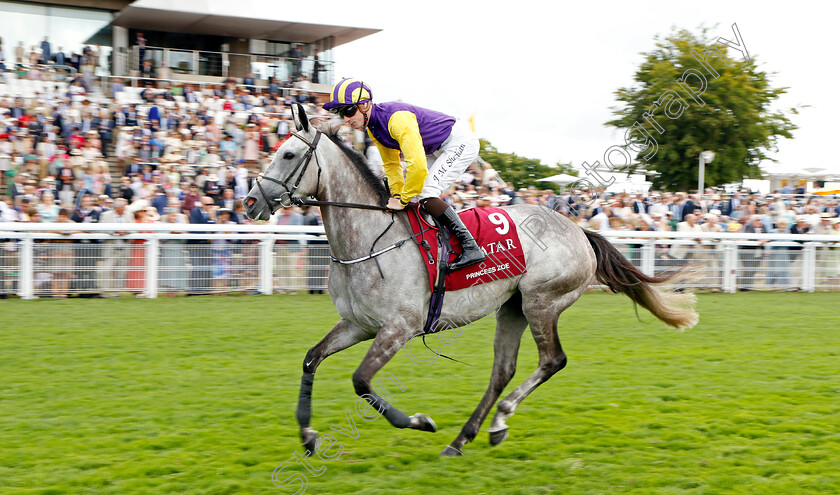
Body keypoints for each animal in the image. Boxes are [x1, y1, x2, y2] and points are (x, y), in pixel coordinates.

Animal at [243, 105, 696, 458]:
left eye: (288, 154)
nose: (249, 202)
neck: (370, 239)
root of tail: (579, 230)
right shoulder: (357, 324)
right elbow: (311, 359)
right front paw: (308, 436)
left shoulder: (398, 328)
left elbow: (361, 381)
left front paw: (420, 421)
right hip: (512, 307)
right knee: (502, 370)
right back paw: (466, 437)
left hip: (541, 302)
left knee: (552, 361)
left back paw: (498, 421)